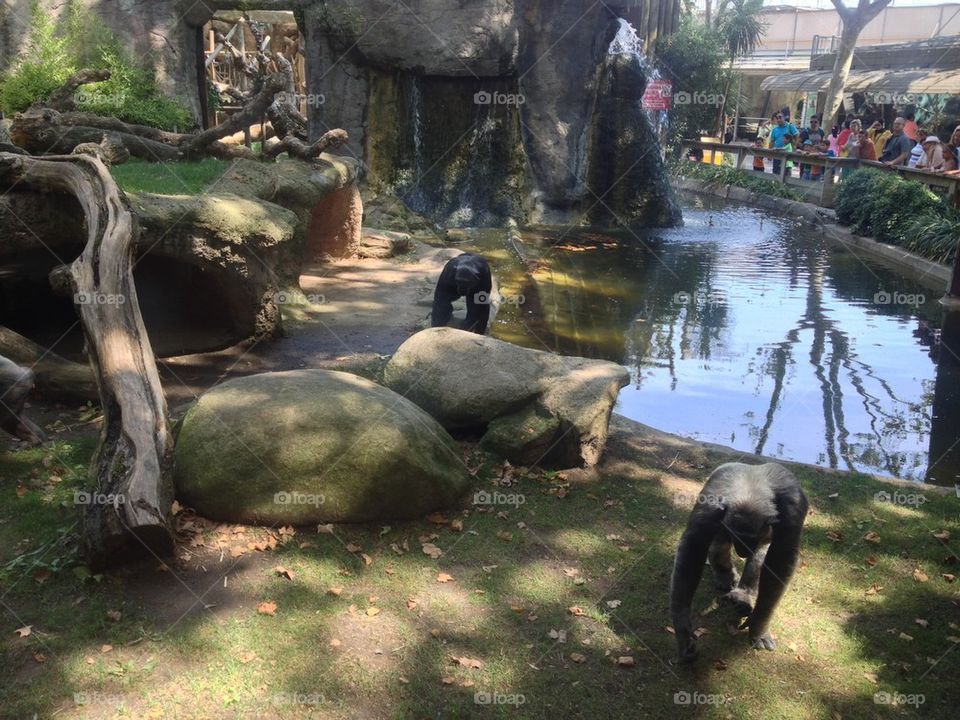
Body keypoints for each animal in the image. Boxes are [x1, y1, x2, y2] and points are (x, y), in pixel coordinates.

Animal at [670, 462, 807, 662]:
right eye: (737, 535)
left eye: (751, 538)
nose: (743, 550)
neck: (751, 486)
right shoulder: (709, 509)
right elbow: (692, 550)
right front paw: (683, 631)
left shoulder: (793, 509)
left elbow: (781, 559)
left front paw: (758, 625)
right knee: (719, 543)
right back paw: (725, 576)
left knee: (761, 554)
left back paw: (743, 594)